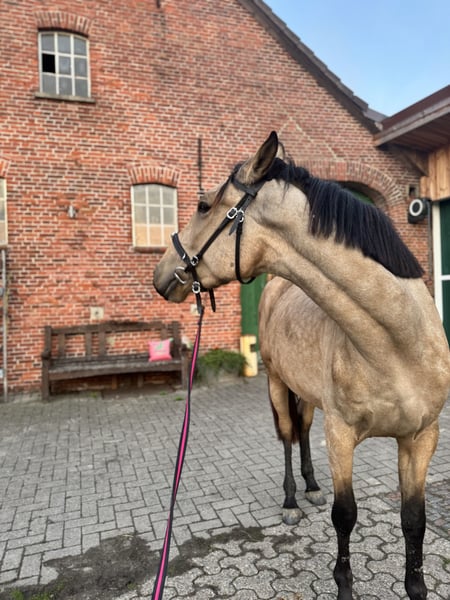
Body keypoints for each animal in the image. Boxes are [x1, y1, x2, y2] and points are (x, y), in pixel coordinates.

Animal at [153, 131, 450, 600]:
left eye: (202, 205)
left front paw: (417, 588)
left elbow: (414, 520)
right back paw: (293, 499)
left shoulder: (422, 438)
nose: (161, 274)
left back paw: (310, 487)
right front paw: (344, 585)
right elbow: (345, 514)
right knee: (289, 437)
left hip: (306, 393)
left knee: (304, 430)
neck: (397, 345)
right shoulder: (342, 435)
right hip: (277, 383)